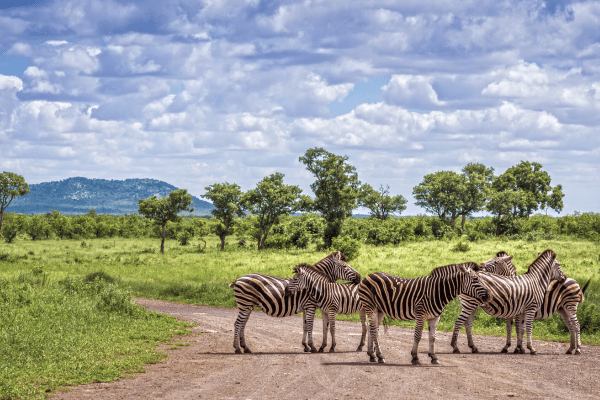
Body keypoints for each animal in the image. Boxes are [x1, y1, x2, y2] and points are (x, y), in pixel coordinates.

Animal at [230, 252, 360, 354]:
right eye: (344, 266)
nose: (359, 277)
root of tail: (237, 279)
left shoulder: (306, 307)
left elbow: (305, 326)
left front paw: (305, 346)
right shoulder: (310, 305)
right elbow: (310, 326)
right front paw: (312, 347)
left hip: (248, 306)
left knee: (242, 324)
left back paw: (245, 348)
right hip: (245, 305)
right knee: (238, 323)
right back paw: (237, 348)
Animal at [356, 262, 492, 366]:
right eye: (475, 279)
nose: (490, 296)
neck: (437, 292)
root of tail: (368, 275)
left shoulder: (435, 317)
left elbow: (432, 337)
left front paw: (433, 357)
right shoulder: (421, 315)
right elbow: (418, 336)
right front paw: (415, 358)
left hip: (380, 310)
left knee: (372, 328)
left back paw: (372, 355)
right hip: (371, 307)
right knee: (374, 330)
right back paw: (380, 356)